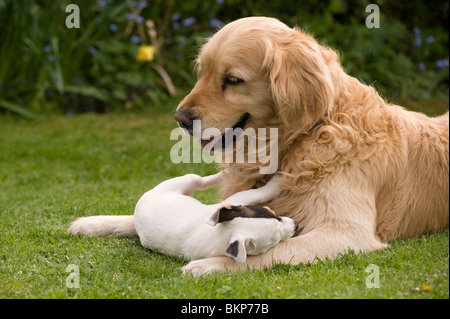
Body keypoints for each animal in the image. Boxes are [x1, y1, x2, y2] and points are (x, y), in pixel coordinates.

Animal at [68, 172, 298, 264]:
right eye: (275, 240)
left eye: (273, 213)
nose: (296, 224)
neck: (222, 234)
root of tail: (138, 210)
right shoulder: (239, 199)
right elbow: (259, 191)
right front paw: (278, 181)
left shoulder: (233, 203)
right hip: (184, 181)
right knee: (201, 180)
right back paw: (225, 173)